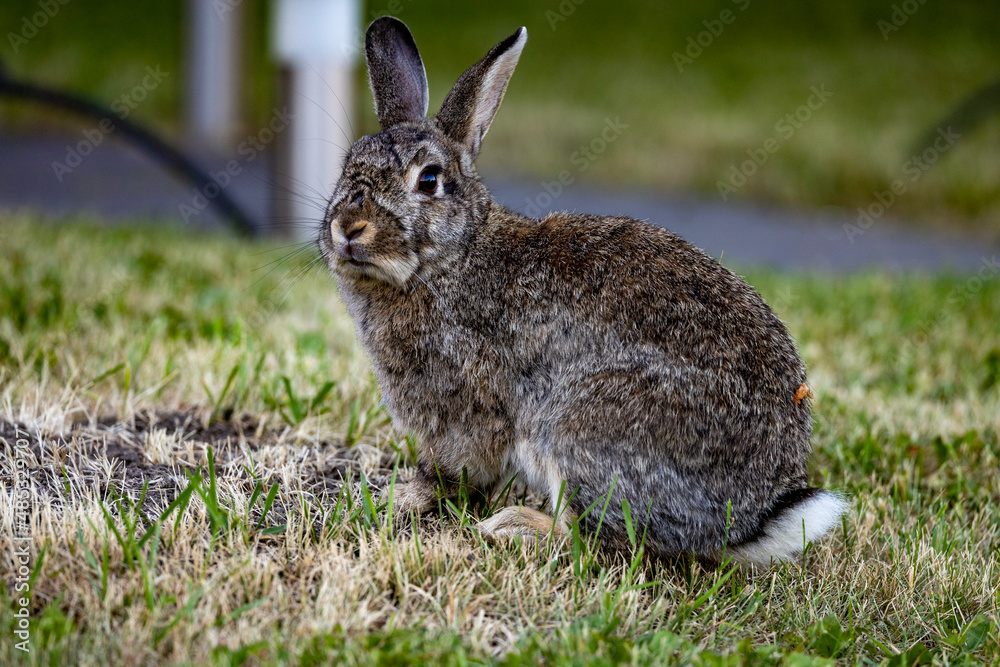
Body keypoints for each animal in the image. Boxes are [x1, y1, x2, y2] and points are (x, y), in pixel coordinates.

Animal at [317, 16, 847, 566]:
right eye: (348, 165)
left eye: (428, 181)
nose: (348, 228)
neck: (453, 257)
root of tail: (746, 521)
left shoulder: (462, 409)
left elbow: (450, 472)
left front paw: (400, 497)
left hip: (583, 428)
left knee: (597, 538)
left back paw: (514, 527)